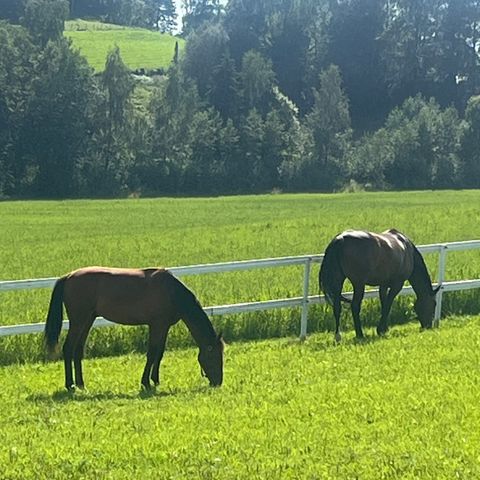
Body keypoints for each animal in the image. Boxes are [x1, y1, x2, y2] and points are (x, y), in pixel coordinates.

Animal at [44, 268, 224, 392]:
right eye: (214, 357)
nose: (218, 382)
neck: (171, 292)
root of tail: (68, 276)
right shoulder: (156, 325)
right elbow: (152, 353)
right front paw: (145, 383)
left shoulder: (164, 326)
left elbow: (160, 353)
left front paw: (155, 380)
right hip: (78, 321)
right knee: (68, 348)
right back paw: (70, 385)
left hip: (87, 320)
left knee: (78, 350)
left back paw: (81, 384)